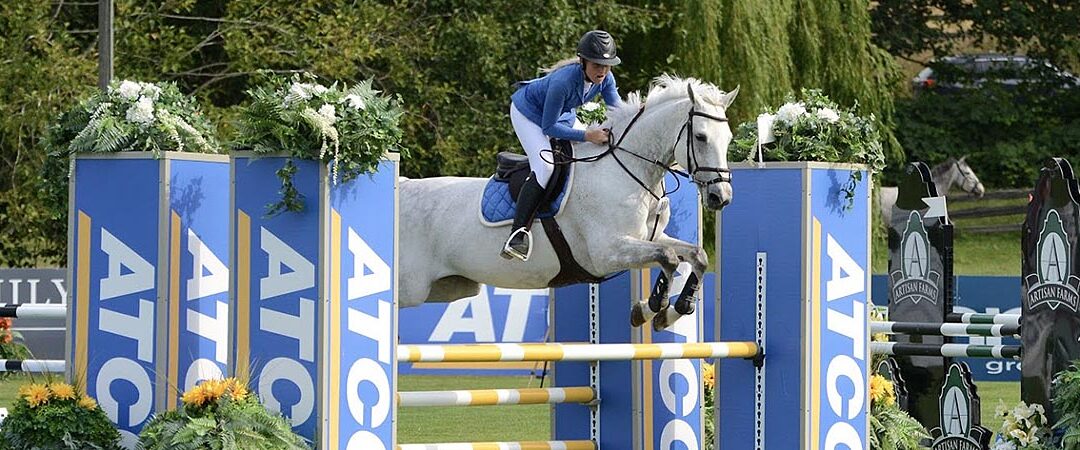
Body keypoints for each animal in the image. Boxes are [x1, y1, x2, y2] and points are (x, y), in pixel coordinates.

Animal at [401, 75, 738, 330]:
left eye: (729, 138)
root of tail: (402, 187)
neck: (627, 169)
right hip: (412, 287)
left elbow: (695, 255)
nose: (720, 197)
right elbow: (668, 257)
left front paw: (669, 311)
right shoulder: (606, 252)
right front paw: (654, 304)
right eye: (701, 137)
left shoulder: (648, 238)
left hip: (448, 287)